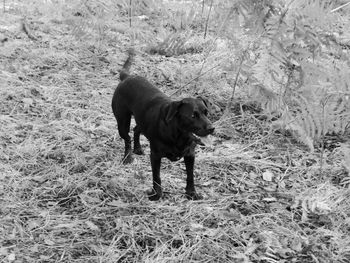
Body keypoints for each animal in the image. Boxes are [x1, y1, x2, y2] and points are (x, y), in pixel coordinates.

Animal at [111, 49, 213, 201]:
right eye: (193, 116)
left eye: (206, 112)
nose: (212, 128)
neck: (177, 135)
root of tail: (127, 77)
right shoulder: (155, 156)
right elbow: (157, 177)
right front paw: (156, 194)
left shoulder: (190, 155)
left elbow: (190, 176)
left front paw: (191, 193)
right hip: (122, 121)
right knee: (127, 138)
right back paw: (128, 157)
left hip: (141, 120)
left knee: (136, 129)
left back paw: (138, 148)